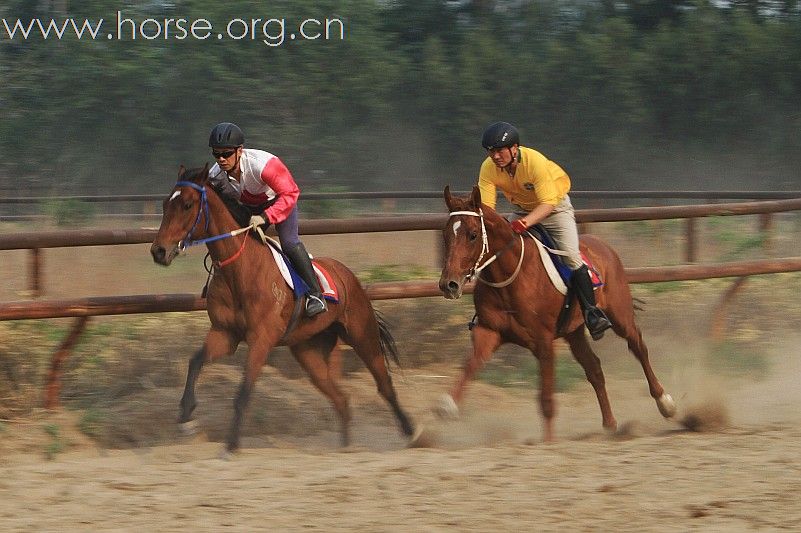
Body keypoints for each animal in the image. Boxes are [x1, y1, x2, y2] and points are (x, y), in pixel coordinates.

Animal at [148, 164, 418, 450]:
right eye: (165, 204)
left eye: (187, 205)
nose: (159, 251)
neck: (239, 271)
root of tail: (348, 275)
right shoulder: (225, 333)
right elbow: (195, 361)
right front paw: (186, 413)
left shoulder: (261, 339)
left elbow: (243, 392)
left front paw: (231, 445)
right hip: (308, 351)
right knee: (341, 400)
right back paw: (345, 447)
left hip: (362, 335)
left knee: (384, 384)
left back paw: (412, 433)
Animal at [438, 187, 676, 440]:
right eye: (446, 234)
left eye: (473, 235)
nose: (449, 284)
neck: (510, 277)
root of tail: (604, 246)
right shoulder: (489, 332)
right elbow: (470, 365)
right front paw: (447, 406)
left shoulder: (543, 342)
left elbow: (547, 401)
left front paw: (549, 442)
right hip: (574, 332)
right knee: (594, 368)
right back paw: (610, 424)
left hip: (620, 316)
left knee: (638, 346)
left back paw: (665, 403)